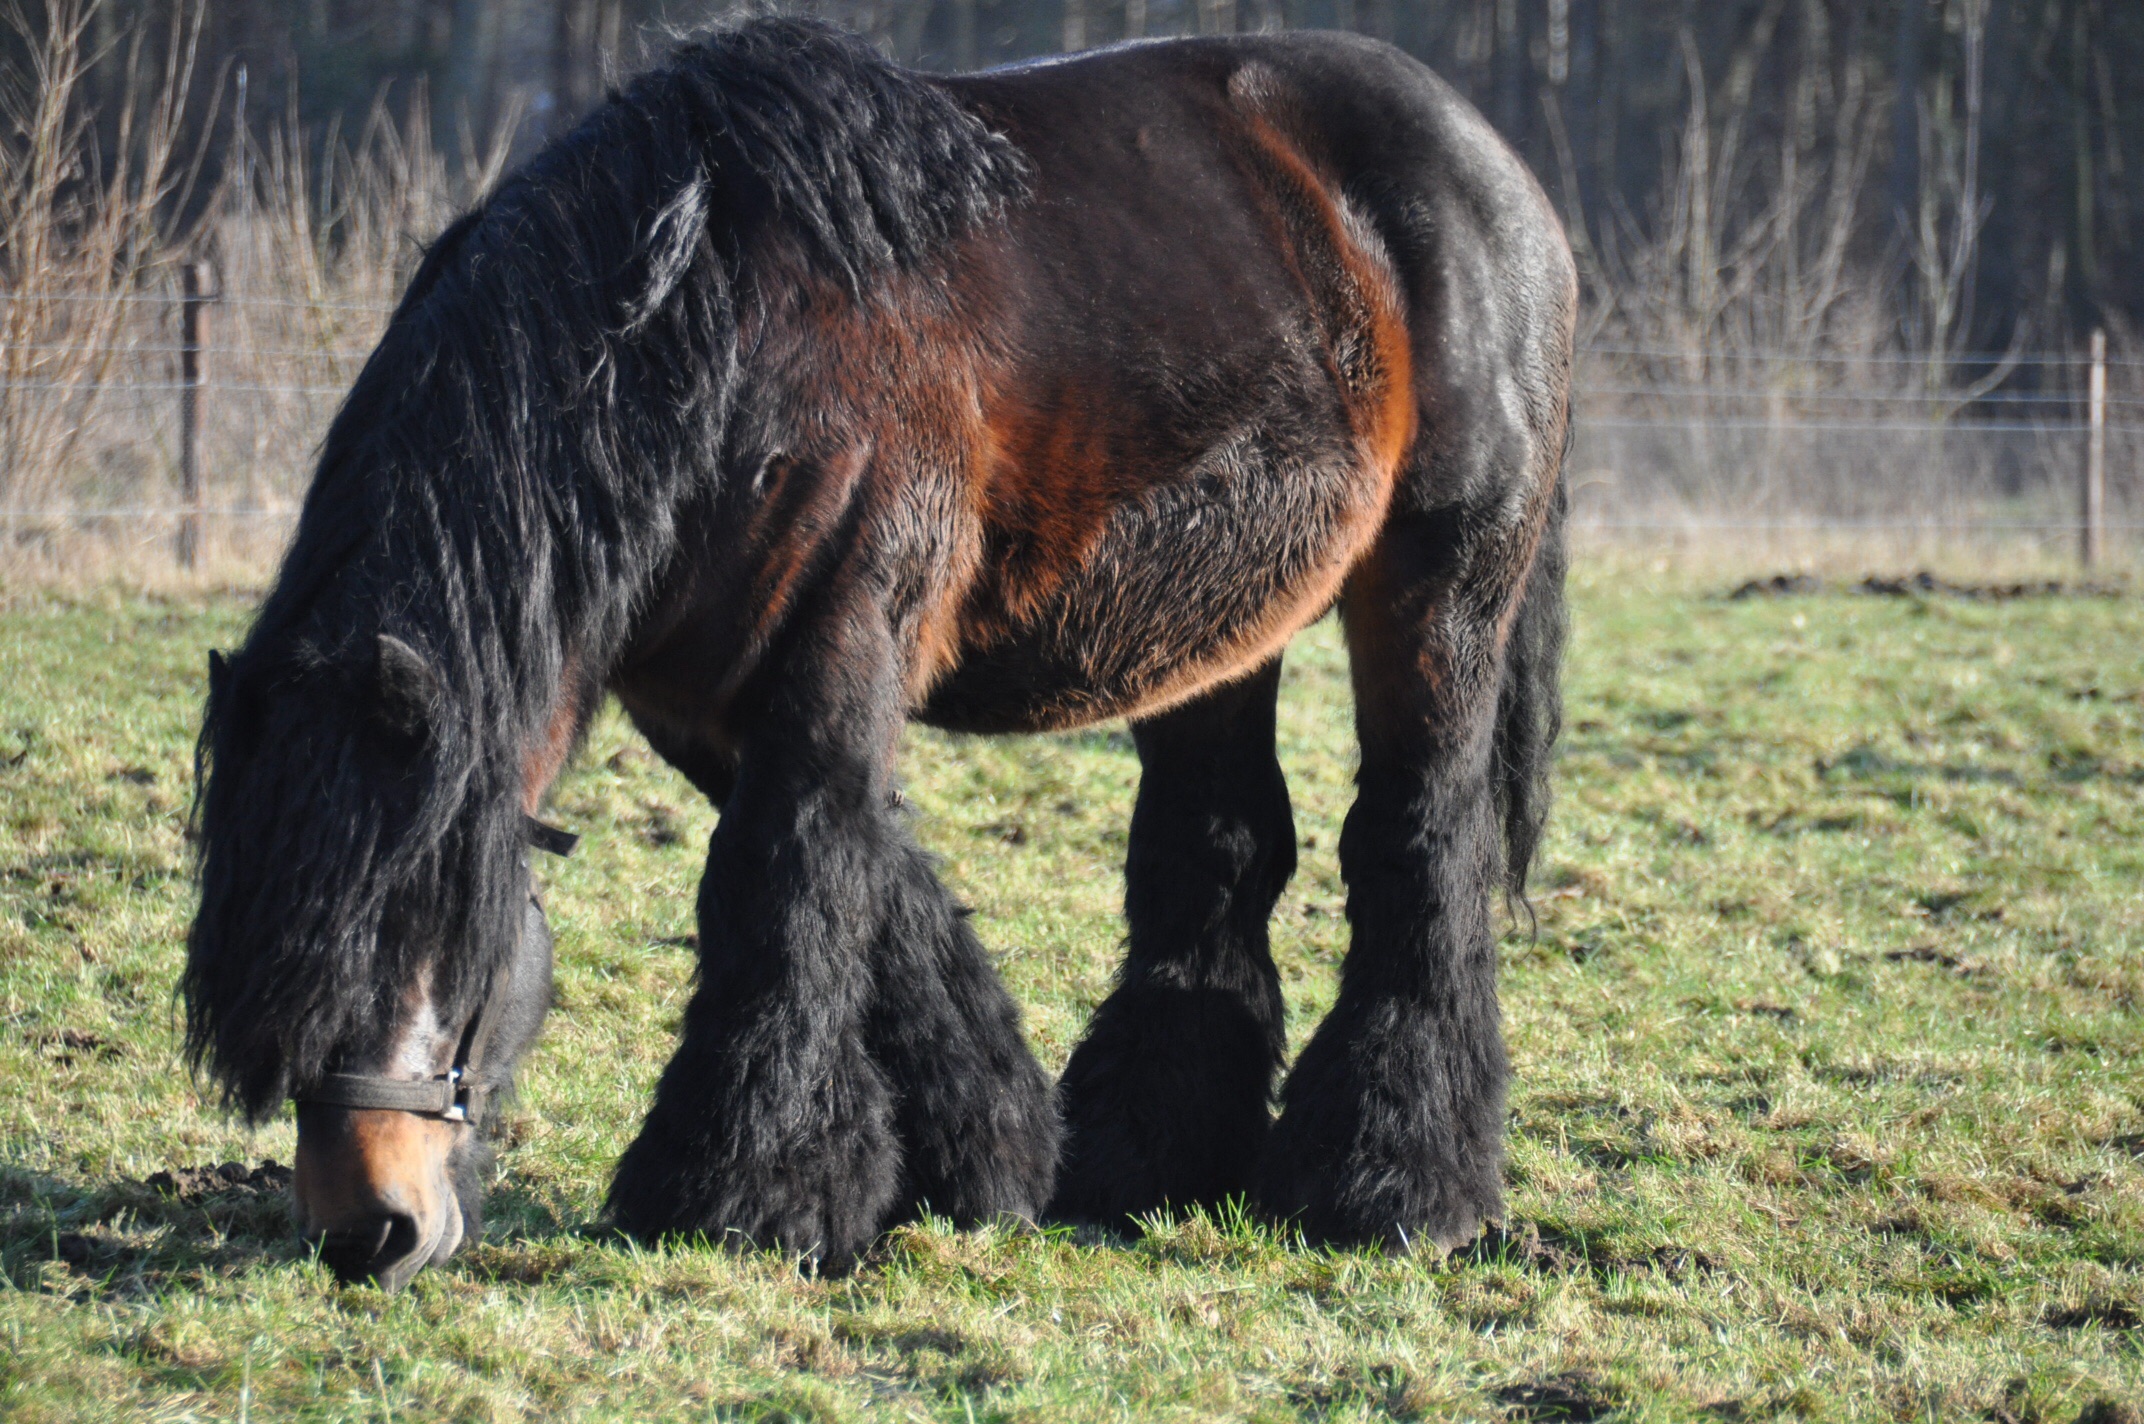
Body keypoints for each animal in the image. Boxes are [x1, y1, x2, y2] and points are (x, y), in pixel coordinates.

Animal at [185, 17, 1573, 1290]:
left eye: (418, 923)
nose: (367, 1227)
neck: (711, 333)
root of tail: (1492, 166)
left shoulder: (831, 646)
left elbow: (786, 887)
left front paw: (740, 1194)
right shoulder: (712, 697)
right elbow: (882, 886)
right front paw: (986, 1155)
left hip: (1439, 587)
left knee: (1415, 838)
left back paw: (1390, 1183)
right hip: (1216, 629)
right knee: (1215, 844)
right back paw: (1148, 1159)